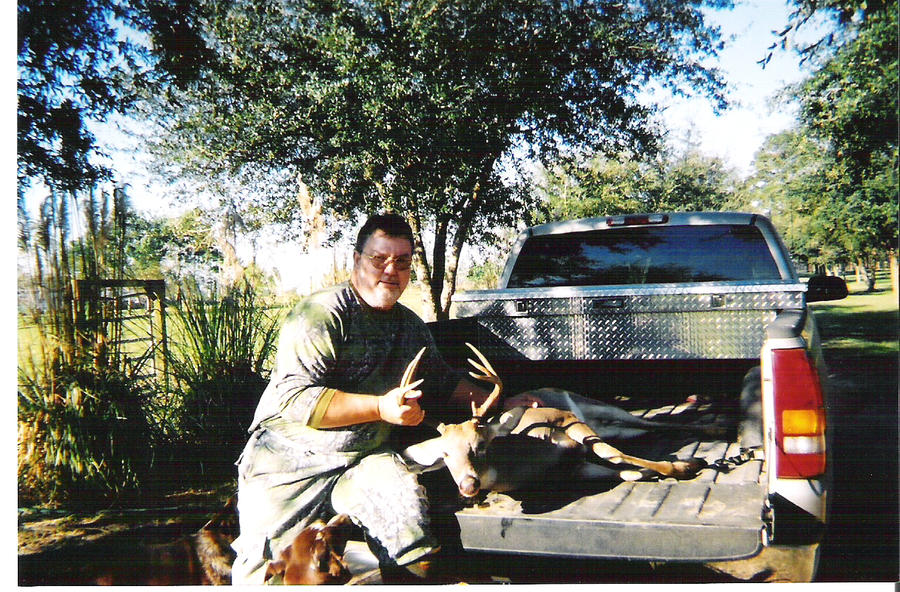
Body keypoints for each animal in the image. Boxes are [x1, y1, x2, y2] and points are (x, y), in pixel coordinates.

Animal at [401, 344, 709, 498]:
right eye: (444, 454)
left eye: (480, 445)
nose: (468, 485)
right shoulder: (575, 470)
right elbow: (628, 472)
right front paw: (670, 467)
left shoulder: (565, 418)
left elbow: (614, 455)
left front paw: (687, 464)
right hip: (613, 428)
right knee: (640, 429)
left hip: (597, 409)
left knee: (654, 423)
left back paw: (709, 424)